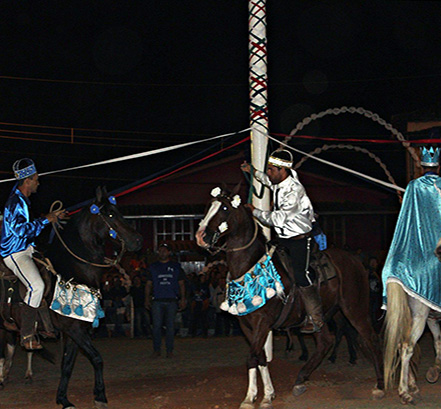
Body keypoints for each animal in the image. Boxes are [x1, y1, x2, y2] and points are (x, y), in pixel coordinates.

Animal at [0, 187, 141, 408]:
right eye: (110, 214)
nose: (138, 241)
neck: (75, 269)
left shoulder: (74, 331)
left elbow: (67, 365)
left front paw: (63, 399)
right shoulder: (75, 329)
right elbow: (97, 359)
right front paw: (100, 396)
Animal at [195, 186, 382, 408]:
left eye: (224, 208)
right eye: (209, 206)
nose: (200, 236)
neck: (250, 264)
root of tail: (355, 261)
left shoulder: (263, 322)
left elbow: (252, 357)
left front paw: (250, 398)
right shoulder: (247, 325)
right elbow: (260, 358)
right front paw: (267, 394)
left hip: (355, 309)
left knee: (370, 338)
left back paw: (380, 385)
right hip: (325, 316)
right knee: (325, 342)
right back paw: (300, 380)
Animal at [384, 241, 440, 404]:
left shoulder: (432, 319)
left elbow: (437, 341)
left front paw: (435, 370)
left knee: (401, 345)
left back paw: (412, 385)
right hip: (419, 317)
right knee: (407, 347)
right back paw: (404, 392)